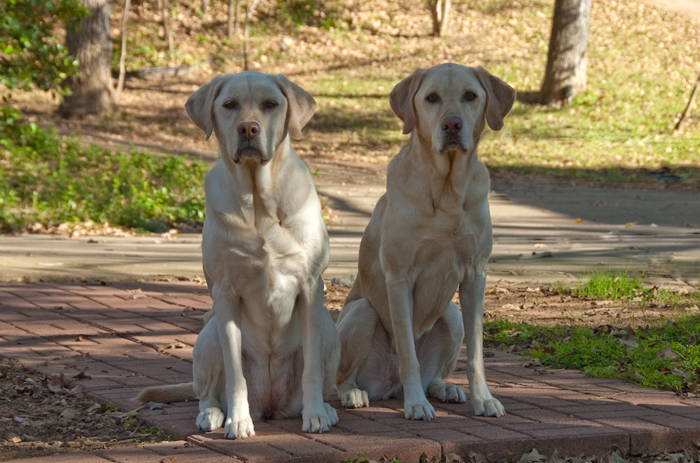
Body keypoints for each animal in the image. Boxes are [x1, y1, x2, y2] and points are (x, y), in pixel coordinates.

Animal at [137, 71, 340, 438]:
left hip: (330, 330)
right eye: (229, 105)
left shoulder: (309, 286)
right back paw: (214, 414)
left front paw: (316, 414)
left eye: (270, 104)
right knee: (205, 393)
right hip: (208, 336)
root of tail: (272, 406)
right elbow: (235, 374)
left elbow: (312, 371)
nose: (248, 128)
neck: (259, 204)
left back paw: (326, 409)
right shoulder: (226, 293)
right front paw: (238, 420)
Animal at [334, 62, 516, 420]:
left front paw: (484, 399)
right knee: (344, 377)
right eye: (431, 98)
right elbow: (408, 353)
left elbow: (476, 355)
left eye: (470, 96)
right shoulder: (399, 278)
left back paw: (444, 388)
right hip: (362, 312)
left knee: (437, 370)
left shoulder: (476, 276)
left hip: (452, 315)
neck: (446, 192)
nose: (452, 124)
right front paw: (416, 403)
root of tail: (389, 386)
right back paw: (356, 393)